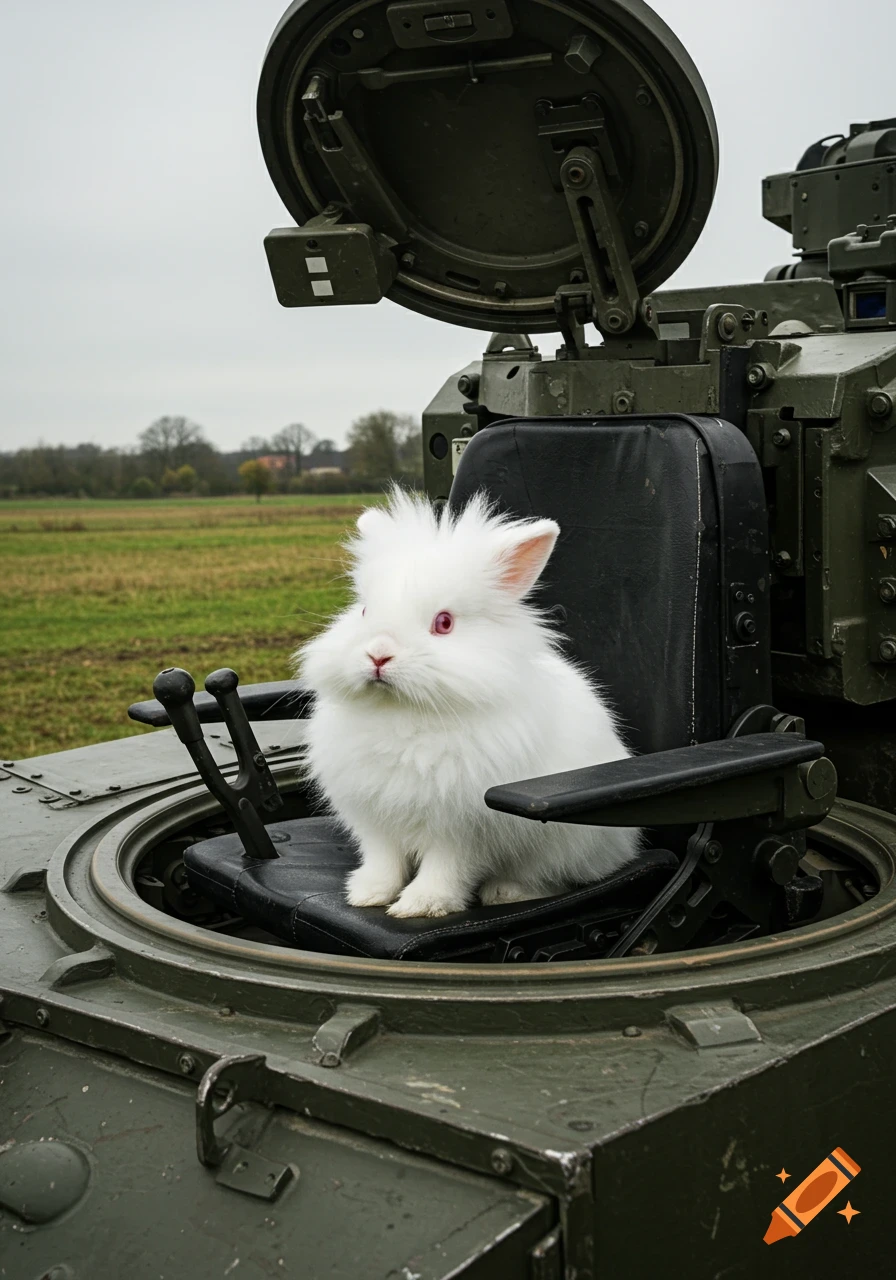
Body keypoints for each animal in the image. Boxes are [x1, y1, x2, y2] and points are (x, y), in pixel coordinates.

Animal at [295, 488, 641, 919]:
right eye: (363, 611)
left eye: (444, 623)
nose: (378, 655)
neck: (405, 713)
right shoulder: (376, 818)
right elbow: (383, 859)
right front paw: (367, 895)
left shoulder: (462, 828)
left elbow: (446, 867)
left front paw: (421, 905)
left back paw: (506, 893)